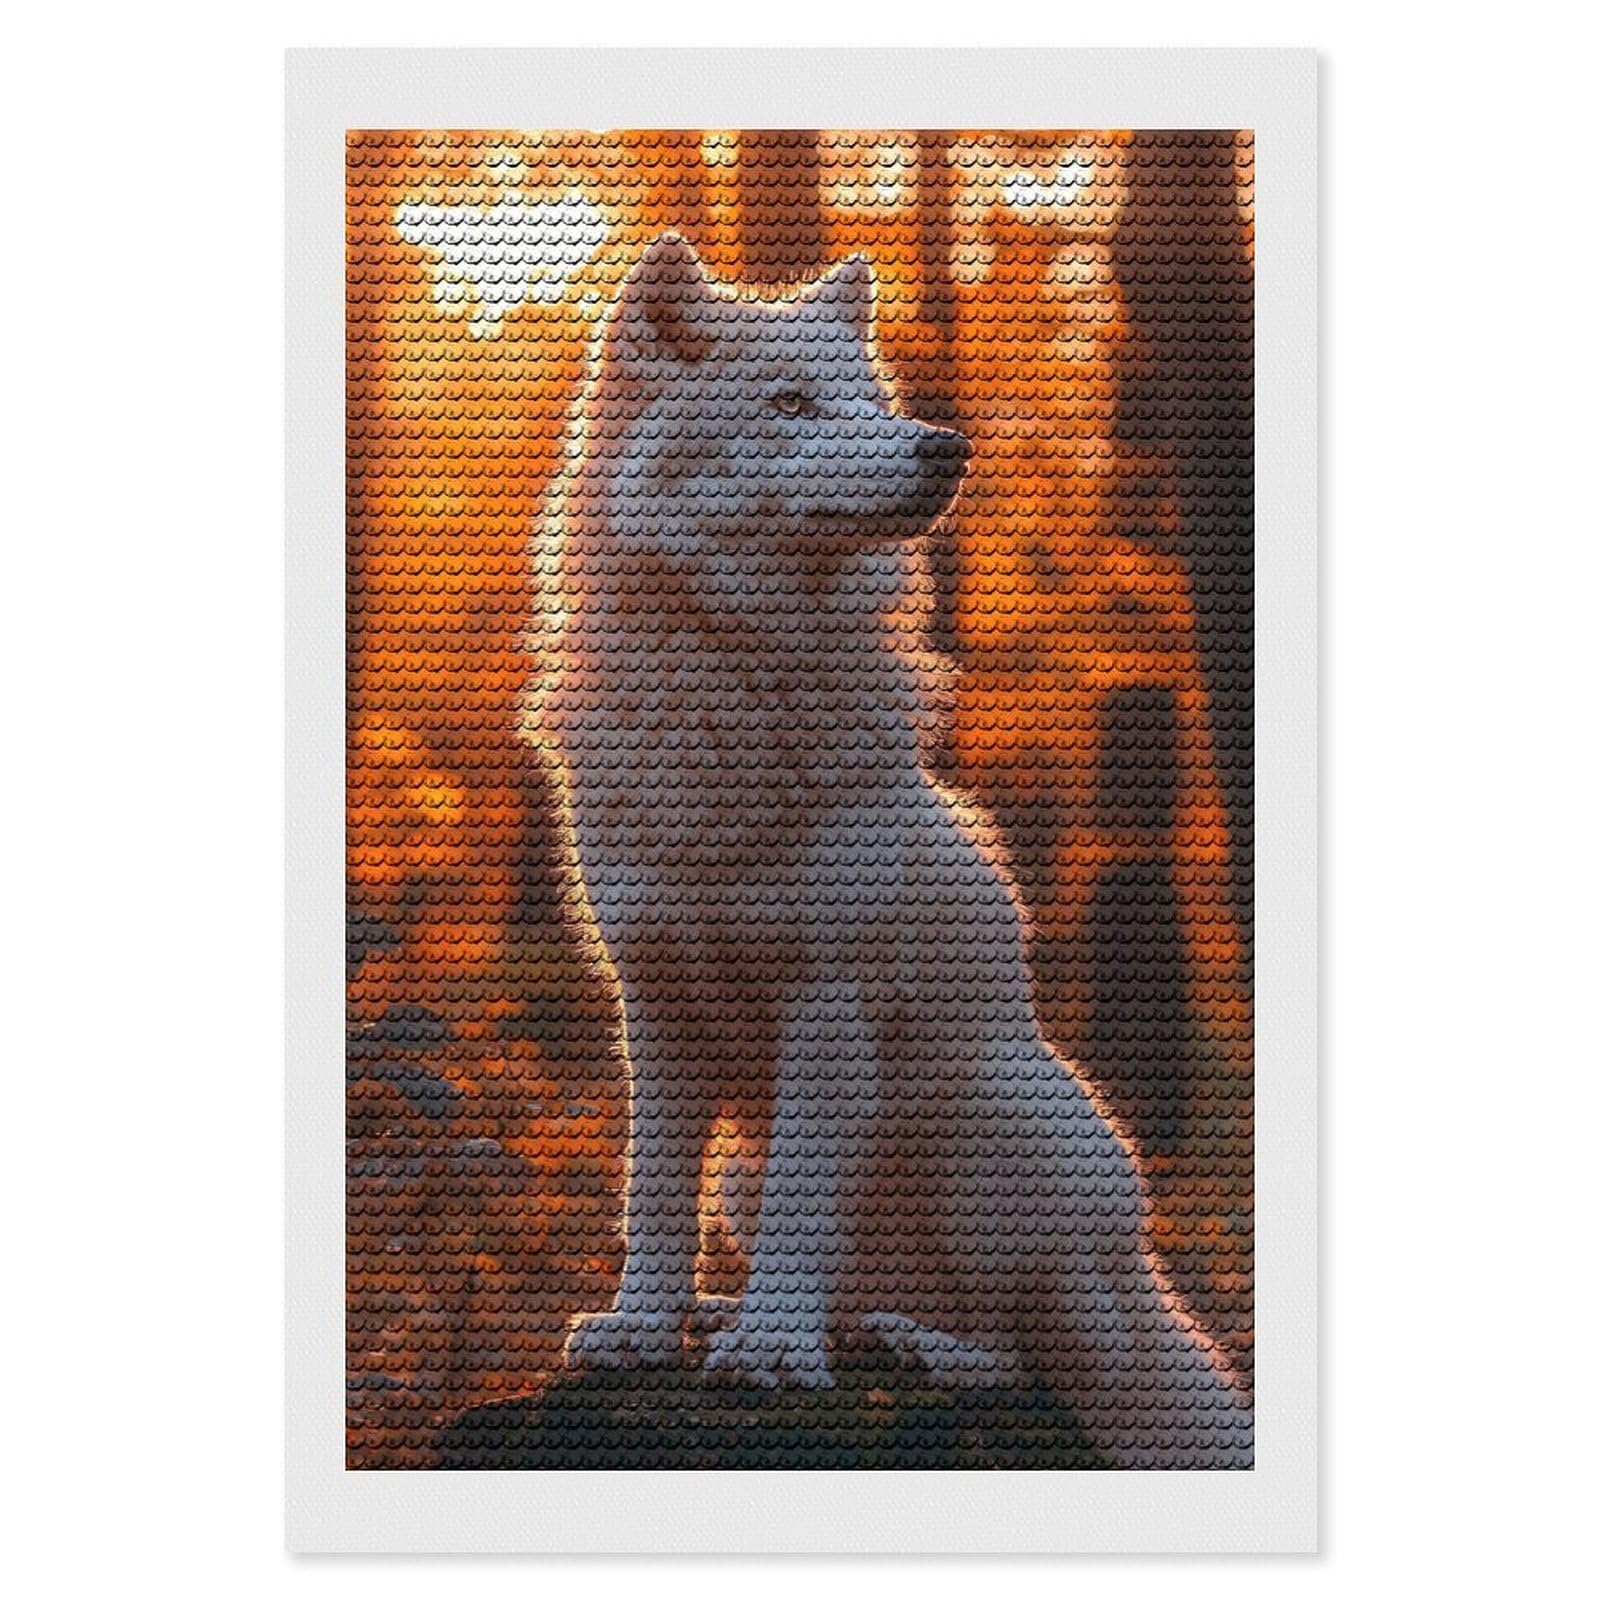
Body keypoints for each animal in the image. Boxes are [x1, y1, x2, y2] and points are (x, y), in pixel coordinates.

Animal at [530, 233, 1252, 1469]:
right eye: (791, 403)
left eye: (874, 401)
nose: (946, 446)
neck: (730, 683)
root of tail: (1135, 1268)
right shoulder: (656, 1008)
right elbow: (651, 1198)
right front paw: (643, 1327)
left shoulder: (828, 1001)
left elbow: (801, 1212)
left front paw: (772, 1351)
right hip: (748, 1164)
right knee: (884, 1296)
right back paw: (795, 1322)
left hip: (1003, 1123)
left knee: (1033, 1356)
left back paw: (914, 1347)